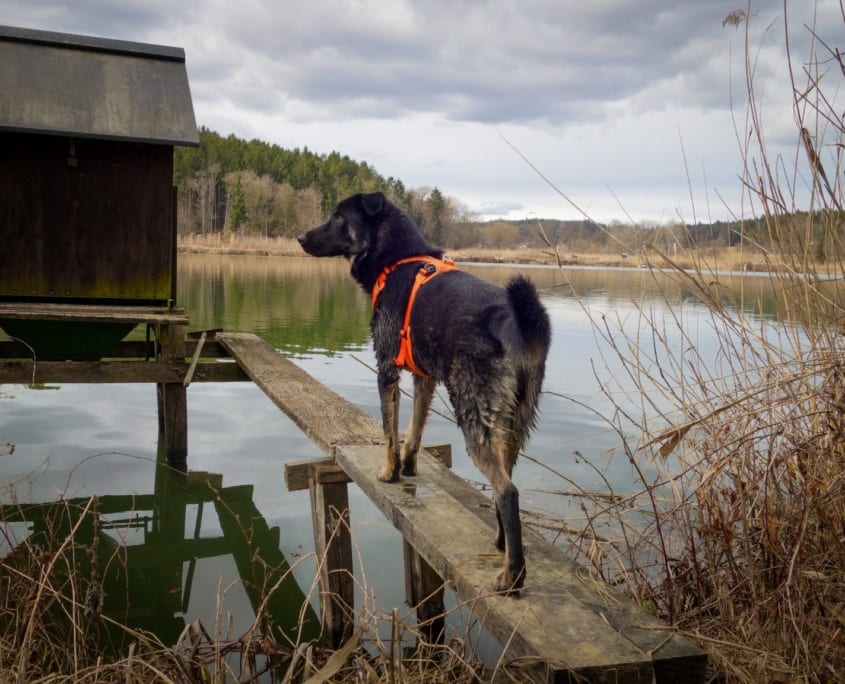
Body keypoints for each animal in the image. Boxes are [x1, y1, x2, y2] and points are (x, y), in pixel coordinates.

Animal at [300, 191, 552, 592]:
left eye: (339, 217)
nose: (301, 238)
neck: (398, 259)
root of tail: (511, 321)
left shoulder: (386, 367)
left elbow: (389, 432)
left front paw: (389, 472)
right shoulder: (425, 378)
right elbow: (414, 429)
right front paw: (408, 465)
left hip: (475, 414)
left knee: (508, 491)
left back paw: (512, 574)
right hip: (514, 425)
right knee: (507, 485)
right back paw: (502, 544)